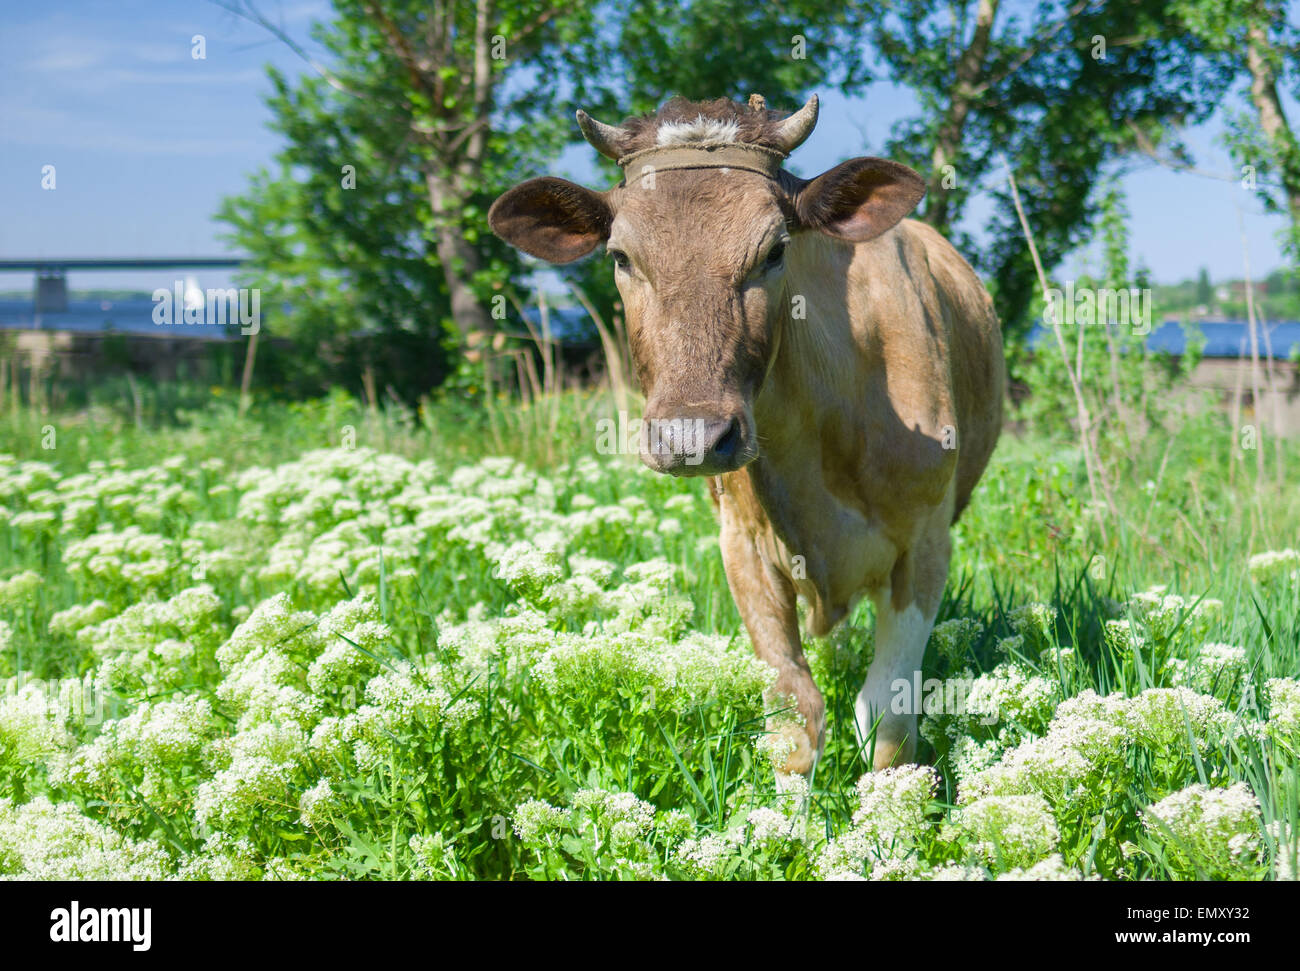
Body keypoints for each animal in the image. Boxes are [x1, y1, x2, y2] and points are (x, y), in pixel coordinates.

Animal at [489, 94, 1005, 781]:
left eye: (775, 249)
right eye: (621, 257)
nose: (691, 436)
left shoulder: (925, 544)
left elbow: (888, 718)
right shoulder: (742, 546)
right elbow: (793, 711)